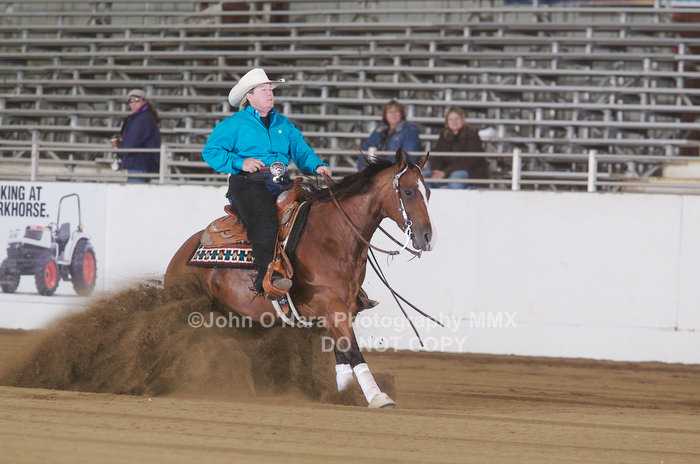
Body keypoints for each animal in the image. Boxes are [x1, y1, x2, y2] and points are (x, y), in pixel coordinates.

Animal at [164, 149, 435, 408]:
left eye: (429, 192)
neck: (332, 237)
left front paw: (342, 395)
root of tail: (182, 253)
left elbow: (342, 356)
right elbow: (353, 352)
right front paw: (379, 397)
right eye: (408, 191)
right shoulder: (333, 308)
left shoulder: (341, 310)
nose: (427, 237)